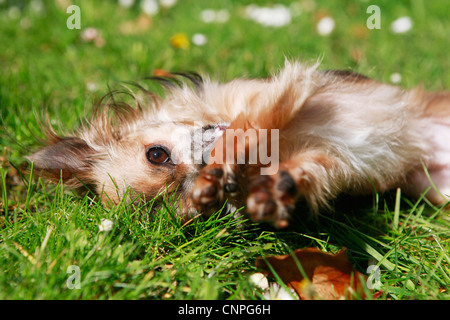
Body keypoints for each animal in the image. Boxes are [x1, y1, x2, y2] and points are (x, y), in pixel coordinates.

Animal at [27, 60, 450, 228]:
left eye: (156, 154)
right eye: (193, 210)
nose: (203, 175)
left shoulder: (288, 89)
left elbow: (248, 125)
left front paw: (233, 157)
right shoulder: (329, 161)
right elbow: (305, 170)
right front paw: (273, 192)